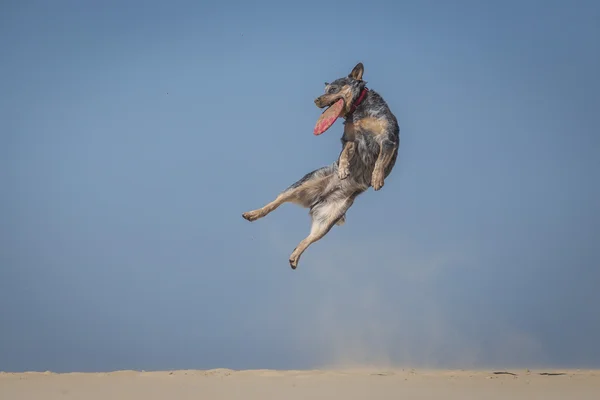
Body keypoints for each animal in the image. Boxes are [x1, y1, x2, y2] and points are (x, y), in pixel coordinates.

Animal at [241, 61, 400, 268]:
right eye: (324, 90)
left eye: (333, 89)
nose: (316, 99)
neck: (358, 109)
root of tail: (318, 199)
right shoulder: (349, 138)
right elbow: (345, 153)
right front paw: (343, 170)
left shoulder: (387, 139)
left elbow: (380, 161)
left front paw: (377, 178)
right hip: (304, 184)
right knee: (276, 202)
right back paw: (253, 213)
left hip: (327, 220)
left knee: (308, 238)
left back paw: (294, 257)